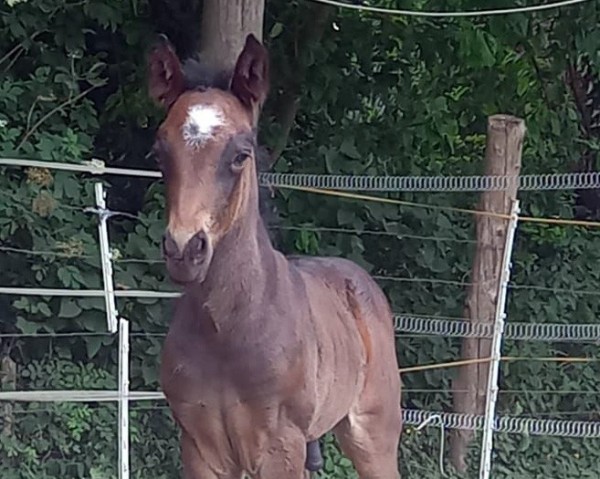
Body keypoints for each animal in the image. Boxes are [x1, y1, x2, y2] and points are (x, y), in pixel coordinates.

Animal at [148, 33, 404, 479]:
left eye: (240, 154)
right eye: (161, 152)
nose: (184, 250)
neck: (227, 331)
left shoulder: (280, 447)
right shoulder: (200, 448)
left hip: (373, 434)